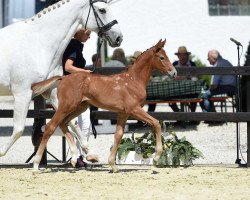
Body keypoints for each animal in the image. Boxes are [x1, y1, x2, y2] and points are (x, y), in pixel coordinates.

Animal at [31, 39, 176, 172]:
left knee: (64, 123)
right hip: (66, 106)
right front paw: (156, 159)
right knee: (51, 127)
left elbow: (118, 134)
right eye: (162, 57)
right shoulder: (134, 109)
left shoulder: (123, 113)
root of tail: (63, 78)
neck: (133, 81)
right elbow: (156, 123)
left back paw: (74, 158)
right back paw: (36, 165)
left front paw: (113, 164)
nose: (174, 73)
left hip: (80, 107)